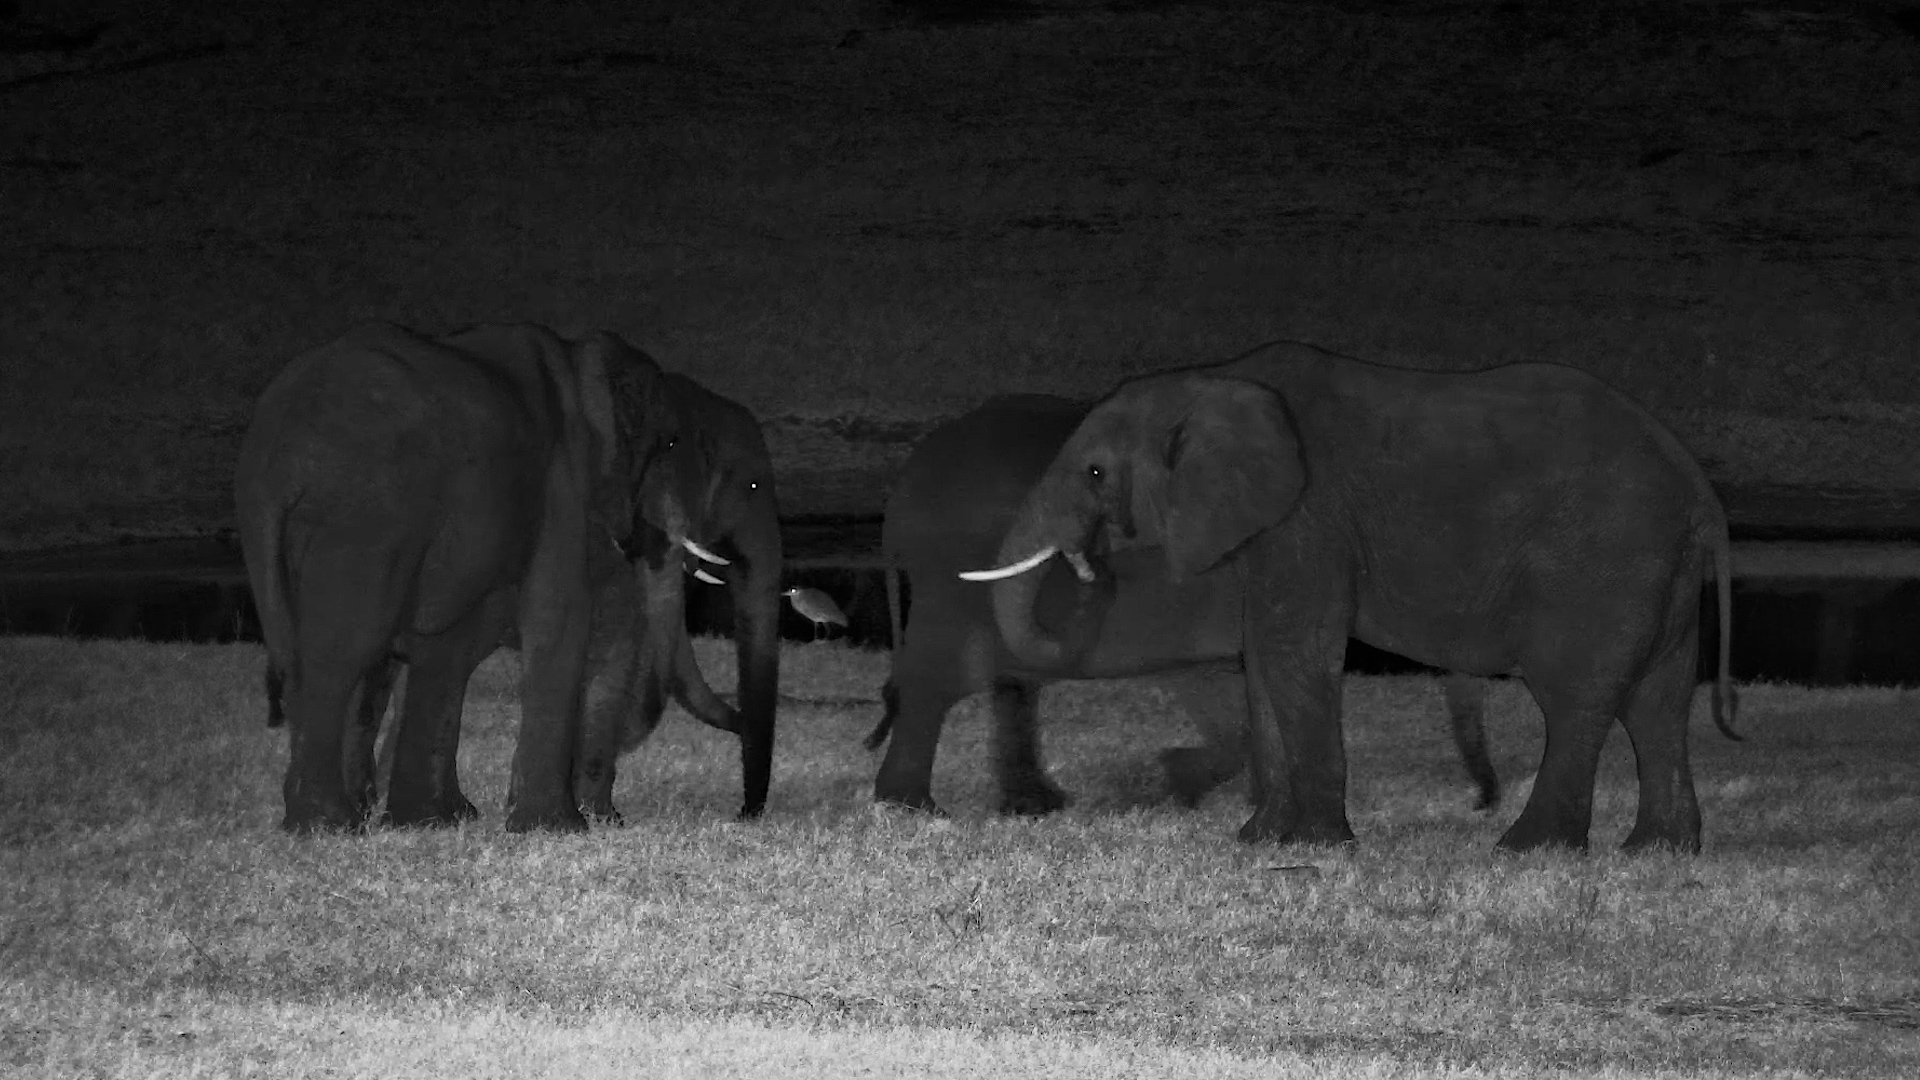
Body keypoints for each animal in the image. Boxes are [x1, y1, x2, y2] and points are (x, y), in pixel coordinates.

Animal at [236, 321, 772, 833]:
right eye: (747, 483)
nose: (745, 814)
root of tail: (274, 444)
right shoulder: (562, 483)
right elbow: (568, 618)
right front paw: (561, 829)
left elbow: (452, 646)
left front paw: (435, 821)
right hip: (364, 516)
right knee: (344, 648)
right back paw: (328, 825)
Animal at [866, 394, 1501, 817]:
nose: (1482, 803)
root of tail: (901, 488)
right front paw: (1166, 784)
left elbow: (1225, 688)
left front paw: (1181, 787)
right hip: (949, 573)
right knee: (940, 680)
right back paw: (913, 807)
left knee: (1004, 683)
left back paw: (1035, 805)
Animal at [964, 341, 1738, 853]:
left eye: (1095, 472)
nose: (1088, 568)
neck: (1209, 381)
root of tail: (1701, 488)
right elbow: (1263, 659)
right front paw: (1259, 841)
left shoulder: (1310, 516)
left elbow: (1294, 650)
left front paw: (1313, 849)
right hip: (1658, 566)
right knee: (1658, 698)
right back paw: (1657, 852)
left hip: (1605, 556)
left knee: (1576, 695)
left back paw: (1528, 850)